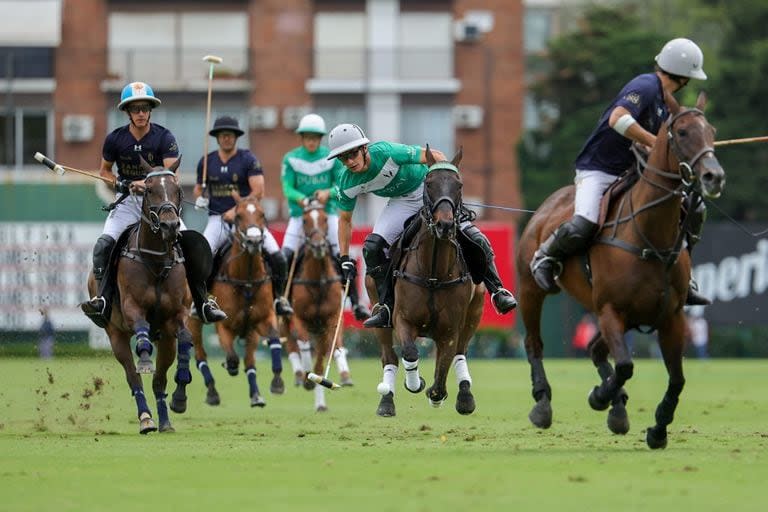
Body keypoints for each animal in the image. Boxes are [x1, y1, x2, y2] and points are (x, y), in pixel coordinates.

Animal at [86, 159, 194, 432]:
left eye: (178, 189)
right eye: (149, 189)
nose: (170, 225)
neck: (156, 261)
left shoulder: (177, 315)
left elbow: (186, 338)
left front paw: (180, 395)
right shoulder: (132, 308)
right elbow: (142, 334)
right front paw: (144, 359)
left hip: (165, 339)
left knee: (159, 380)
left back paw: (165, 421)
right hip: (115, 333)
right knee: (132, 376)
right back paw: (146, 418)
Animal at [192, 193, 284, 408]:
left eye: (262, 214)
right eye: (238, 216)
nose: (254, 241)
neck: (246, 278)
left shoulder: (264, 318)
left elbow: (274, 338)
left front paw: (277, 382)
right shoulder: (223, 325)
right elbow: (232, 357)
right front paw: (229, 365)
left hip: (251, 332)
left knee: (249, 360)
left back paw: (256, 395)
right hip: (192, 321)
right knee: (200, 355)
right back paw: (212, 392)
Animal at [280, 201, 344, 412]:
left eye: (324, 218)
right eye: (305, 220)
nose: (318, 246)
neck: (318, 282)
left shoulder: (329, 320)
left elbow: (321, 360)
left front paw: (320, 397)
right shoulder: (299, 316)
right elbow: (303, 343)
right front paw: (307, 377)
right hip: (284, 314)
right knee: (290, 340)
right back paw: (299, 374)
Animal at [368, 147, 484, 416]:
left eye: (459, 185)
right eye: (429, 183)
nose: (445, 224)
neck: (434, 274)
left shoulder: (450, 330)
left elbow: (443, 371)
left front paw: (436, 395)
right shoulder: (402, 318)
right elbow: (410, 352)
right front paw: (415, 382)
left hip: (475, 312)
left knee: (460, 353)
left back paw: (465, 397)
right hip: (379, 317)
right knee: (389, 357)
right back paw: (386, 401)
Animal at [516, 91, 728, 448]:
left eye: (712, 131)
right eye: (682, 132)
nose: (714, 176)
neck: (650, 237)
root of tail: (548, 204)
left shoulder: (670, 317)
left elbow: (677, 379)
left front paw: (657, 429)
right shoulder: (611, 310)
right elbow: (627, 365)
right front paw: (599, 397)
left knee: (595, 349)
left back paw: (617, 409)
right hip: (531, 289)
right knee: (535, 343)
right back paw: (544, 404)